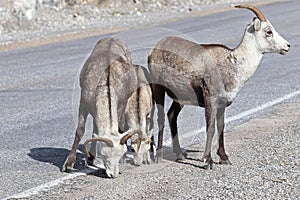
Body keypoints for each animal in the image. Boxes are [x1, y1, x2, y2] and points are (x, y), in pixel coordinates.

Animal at [64, 37, 151, 177]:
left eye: (119, 154)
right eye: (105, 155)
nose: (114, 174)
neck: (106, 81)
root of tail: (113, 38)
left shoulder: (121, 104)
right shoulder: (83, 103)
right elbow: (80, 131)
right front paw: (68, 165)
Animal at [148, 4, 290, 169]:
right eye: (268, 31)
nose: (287, 46)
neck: (231, 64)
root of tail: (154, 49)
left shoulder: (222, 104)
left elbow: (220, 127)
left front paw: (224, 158)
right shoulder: (210, 100)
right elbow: (210, 128)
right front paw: (207, 161)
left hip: (179, 98)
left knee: (172, 115)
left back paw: (180, 155)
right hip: (158, 88)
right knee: (160, 118)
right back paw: (158, 156)